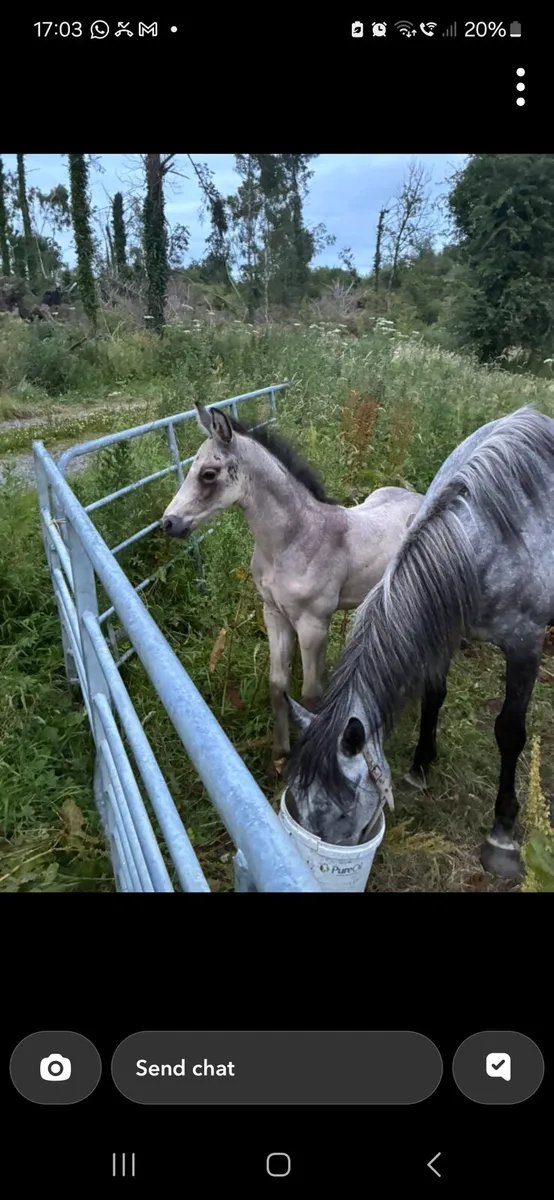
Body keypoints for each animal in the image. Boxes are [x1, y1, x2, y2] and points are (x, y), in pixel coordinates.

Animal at [162, 401, 424, 764]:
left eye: (208, 474)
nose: (168, 523)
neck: (294, 540)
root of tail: (419, 495)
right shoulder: (274, 614)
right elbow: (277, 685)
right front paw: (280, 752)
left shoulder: (312, 624)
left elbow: (311, 695)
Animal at [284, 405, 554, 882]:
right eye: (298, 801)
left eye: (342, 810)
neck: (476, 545)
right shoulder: (442, 632)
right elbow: (434, 695)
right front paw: (420, 767)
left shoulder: (525, 644)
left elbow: (510, 731)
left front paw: (502, 834)